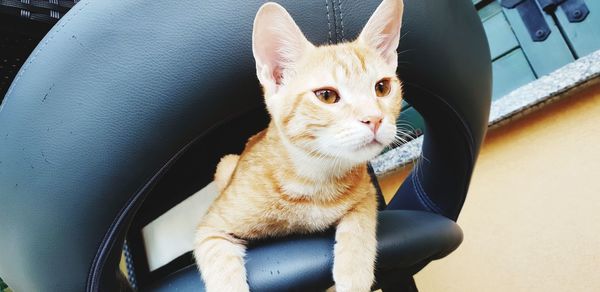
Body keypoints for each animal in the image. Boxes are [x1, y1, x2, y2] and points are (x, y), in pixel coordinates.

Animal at [195, 1, 406, 290]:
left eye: (382, 87)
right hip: (226, 165)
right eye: (327, 96)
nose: (374, 119)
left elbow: (359, 227)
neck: (315, 179)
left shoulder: (366, 193)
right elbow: (222, 269)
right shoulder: (210, 228)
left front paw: (353, 276)